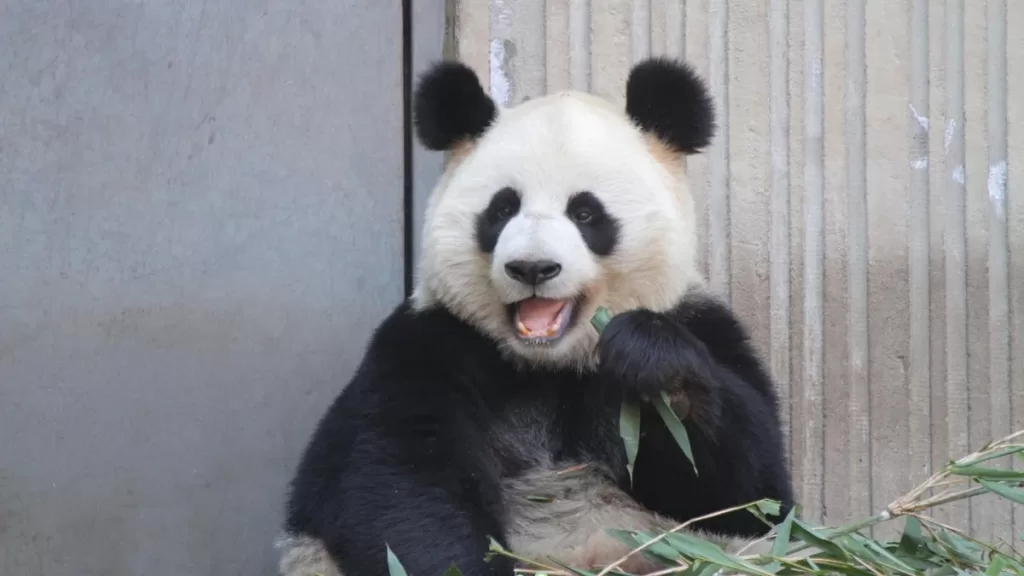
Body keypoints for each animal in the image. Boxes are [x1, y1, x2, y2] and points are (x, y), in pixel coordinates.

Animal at [276, 57, 794, 576]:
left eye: (585, 213)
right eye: (503, 208)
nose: (532, 267)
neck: (551, 364)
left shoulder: (701, 323)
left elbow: (746, 494)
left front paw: (653, 361)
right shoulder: (432, 341)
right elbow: (402, 479)